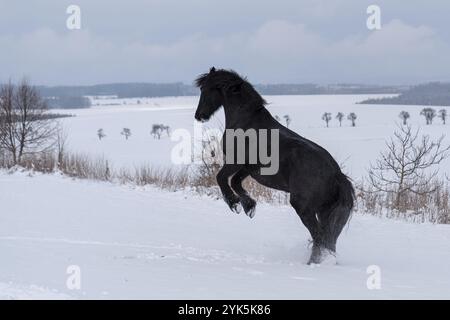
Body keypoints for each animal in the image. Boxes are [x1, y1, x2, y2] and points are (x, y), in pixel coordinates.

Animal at [193, 67, 356, 262]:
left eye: (205, 89)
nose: (199, 116)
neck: (246, 122)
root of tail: (336, 176)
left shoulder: (235, 162)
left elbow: (221, 178)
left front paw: (234, 204)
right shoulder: (249, 168)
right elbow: (235, 182)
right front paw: (249, 207)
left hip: (304, 207)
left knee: (319, 237)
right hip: (325, 212)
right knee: (328, 241)